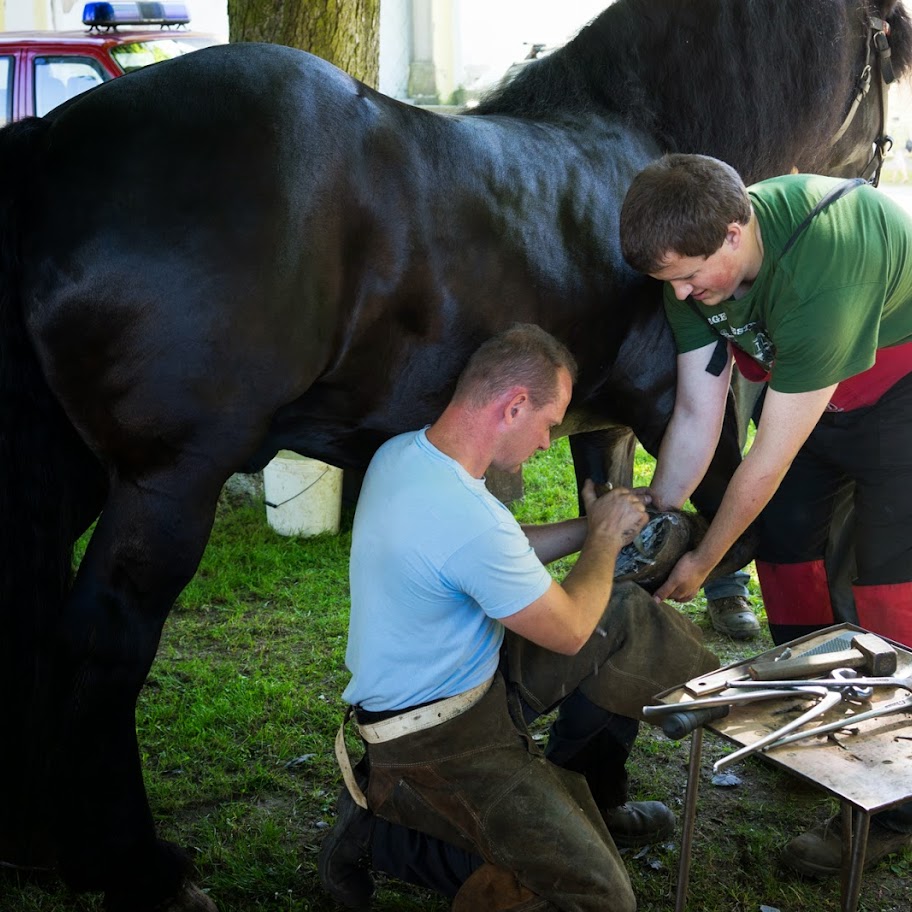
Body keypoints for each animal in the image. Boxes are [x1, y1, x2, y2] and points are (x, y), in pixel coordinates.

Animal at [0, 1, 908, 912]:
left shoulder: (604, 431)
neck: (641, 132)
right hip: (168, 482)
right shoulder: (676, 414)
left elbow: (617, 556)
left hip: (79, 477)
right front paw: (603, 775)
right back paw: (136, 865)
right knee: (104, 643)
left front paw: (604, 788)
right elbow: (703, 544)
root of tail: (47, 145)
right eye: (891, 50)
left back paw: (47, 844)